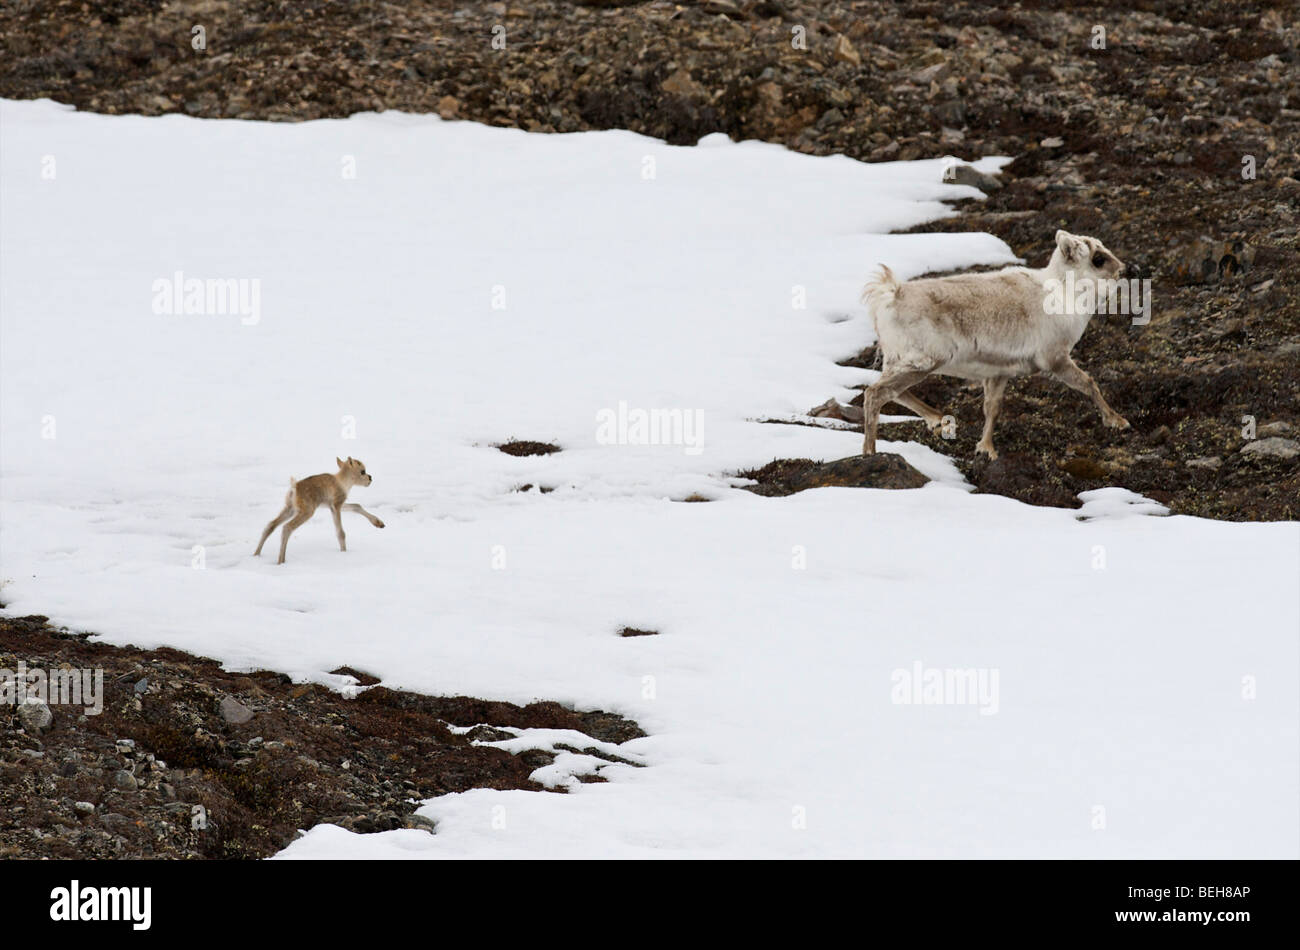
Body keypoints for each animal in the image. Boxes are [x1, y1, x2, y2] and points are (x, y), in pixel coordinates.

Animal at [254, 454, 382, 561]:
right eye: (362, 471)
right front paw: (344, 552)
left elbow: (356, 506)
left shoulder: (332, 506)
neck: (342, 482)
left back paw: (256, 554)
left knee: (271, 525)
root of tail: (295, 486)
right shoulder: (336, 505)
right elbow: (341, 533)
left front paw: (379, 523)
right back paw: (281, 560)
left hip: (290, 509)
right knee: (287, 527)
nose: (370, 478)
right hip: (307, 511)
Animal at [863, 226, 1128, 457]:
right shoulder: (1055, 358)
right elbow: (1088, 383)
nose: (1125, 270)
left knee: (894, 393)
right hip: (922, 362)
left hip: (905, 363)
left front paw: (986, 449)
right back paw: (870, 452)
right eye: (1098, 259)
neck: (1064, 293)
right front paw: (1117, 420)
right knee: (875, 393)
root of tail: (889, 296)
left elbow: (992, 408)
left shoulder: (998, 372)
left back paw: (940, 422)